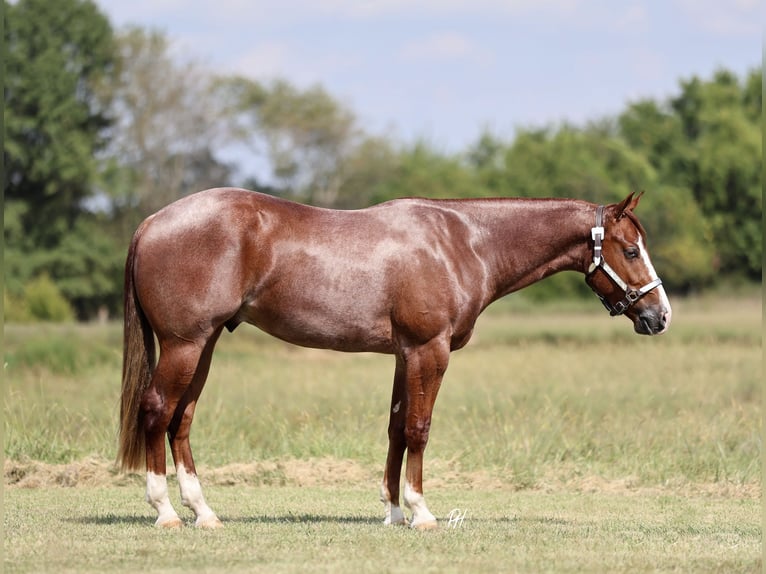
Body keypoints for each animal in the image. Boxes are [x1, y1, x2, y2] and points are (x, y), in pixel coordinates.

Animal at [118, 188, 671, 529]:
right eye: (630, 250)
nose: (660, 315)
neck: (462, 243)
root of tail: (151, 222)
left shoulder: (405, 356)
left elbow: (395, 428)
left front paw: (392, 512)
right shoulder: (430, 351)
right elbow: (419, 429)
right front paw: (421, 512)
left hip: (205, 344)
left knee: (181, 420)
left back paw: (204, 512)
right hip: (185, 344)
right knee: (157, 411)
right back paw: (165, 511)